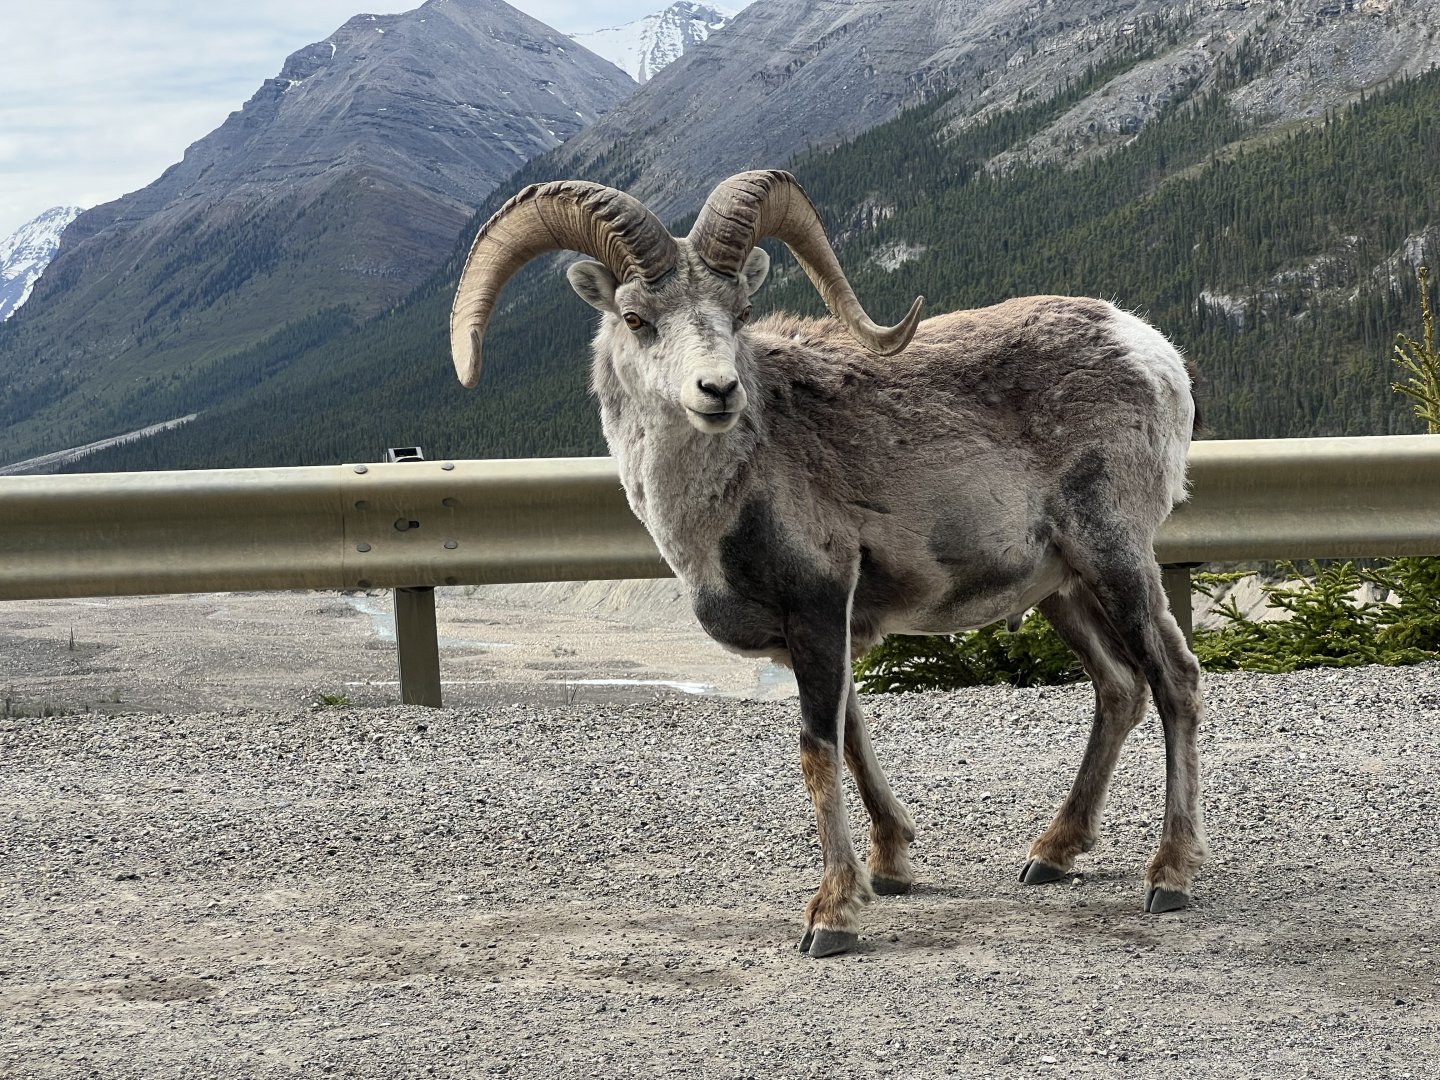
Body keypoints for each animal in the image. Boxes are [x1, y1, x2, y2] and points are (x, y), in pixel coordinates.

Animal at [449, 169, 1205, 958]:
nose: (717, 392)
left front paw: (833, 913)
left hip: (1115, 556)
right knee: (1119, 687)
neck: (732, 487)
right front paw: (892, 867)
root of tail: (1151, 352)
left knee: (1174, 678)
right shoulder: (816, 635)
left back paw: (1169, 877)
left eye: (740, 311)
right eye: (636, 317)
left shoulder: (817, 608)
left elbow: (819, 750)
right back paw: (1050, 855)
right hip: (1063, 588)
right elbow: (852, 734)